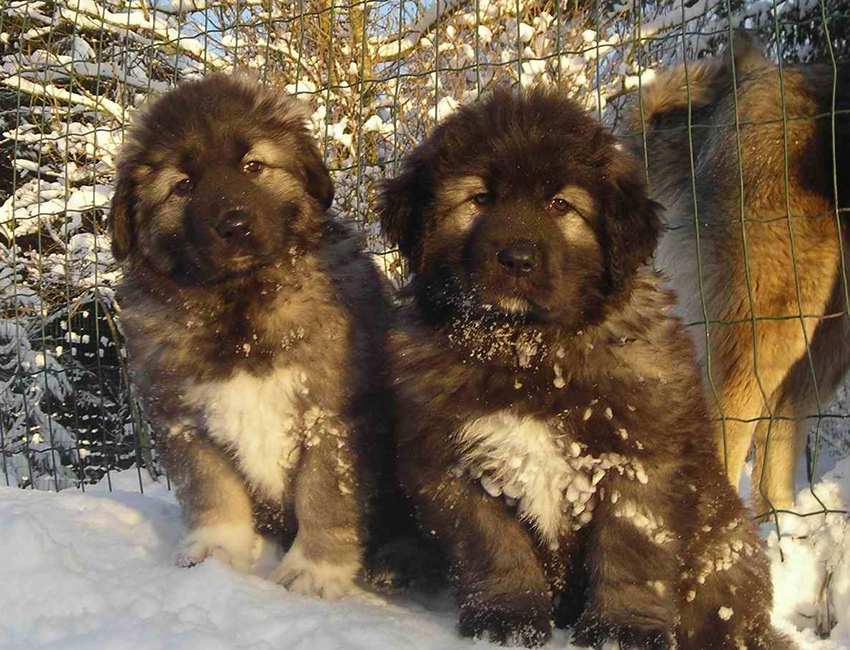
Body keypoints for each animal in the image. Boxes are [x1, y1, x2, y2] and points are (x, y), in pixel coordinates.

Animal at [374, 88, 792, 648]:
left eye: (560, 205)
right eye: (479, 199)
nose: (518, 259)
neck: (529, 351)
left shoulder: (639, 458)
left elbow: (632, 552)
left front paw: (621, 629)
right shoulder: (456, 465)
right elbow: (493, 548)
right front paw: (507, 618)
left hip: (725, 543)